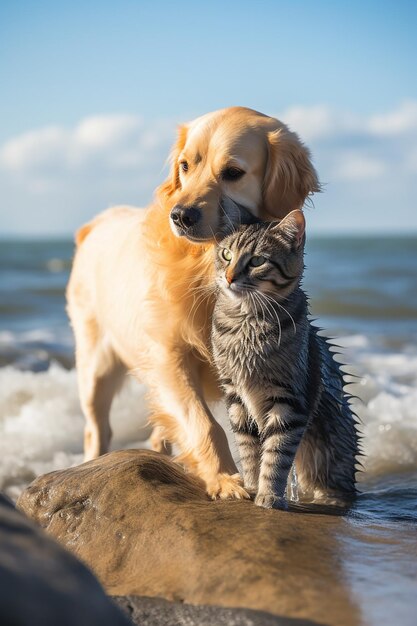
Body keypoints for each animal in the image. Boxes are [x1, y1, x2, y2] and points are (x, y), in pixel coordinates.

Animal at [66, 106, 318, 498]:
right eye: (185, 166)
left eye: (233, 173)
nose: (180, 215)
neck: (206, 264)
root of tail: (97, 222)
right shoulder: (169, 353)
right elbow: (204, 422)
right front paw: (225, 479)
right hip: (95, 365)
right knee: (97, 429)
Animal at [210, 210, 360, 508]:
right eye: (226, 255)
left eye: (257, 261)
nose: (230, 277)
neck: (246, 325)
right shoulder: (235, 396)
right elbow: (249, 449)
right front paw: (251, 486)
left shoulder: (289, 400)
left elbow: (276, 454)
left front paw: (269, 494)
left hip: (330, 459)